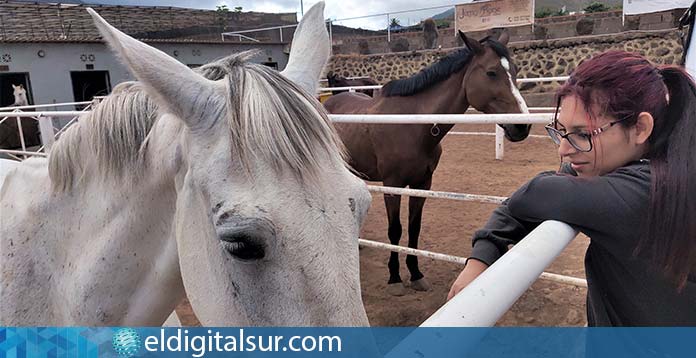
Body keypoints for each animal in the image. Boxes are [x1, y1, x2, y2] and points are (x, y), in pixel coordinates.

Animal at [324, 30, 532, 296]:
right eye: (491, 72)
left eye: (515, 71)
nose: (522, 126)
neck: (413, 124)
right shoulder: (393, 185)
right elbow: (395, 230)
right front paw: (394, 278)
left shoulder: (423, 184)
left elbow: (414, 229)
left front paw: (415, 274)